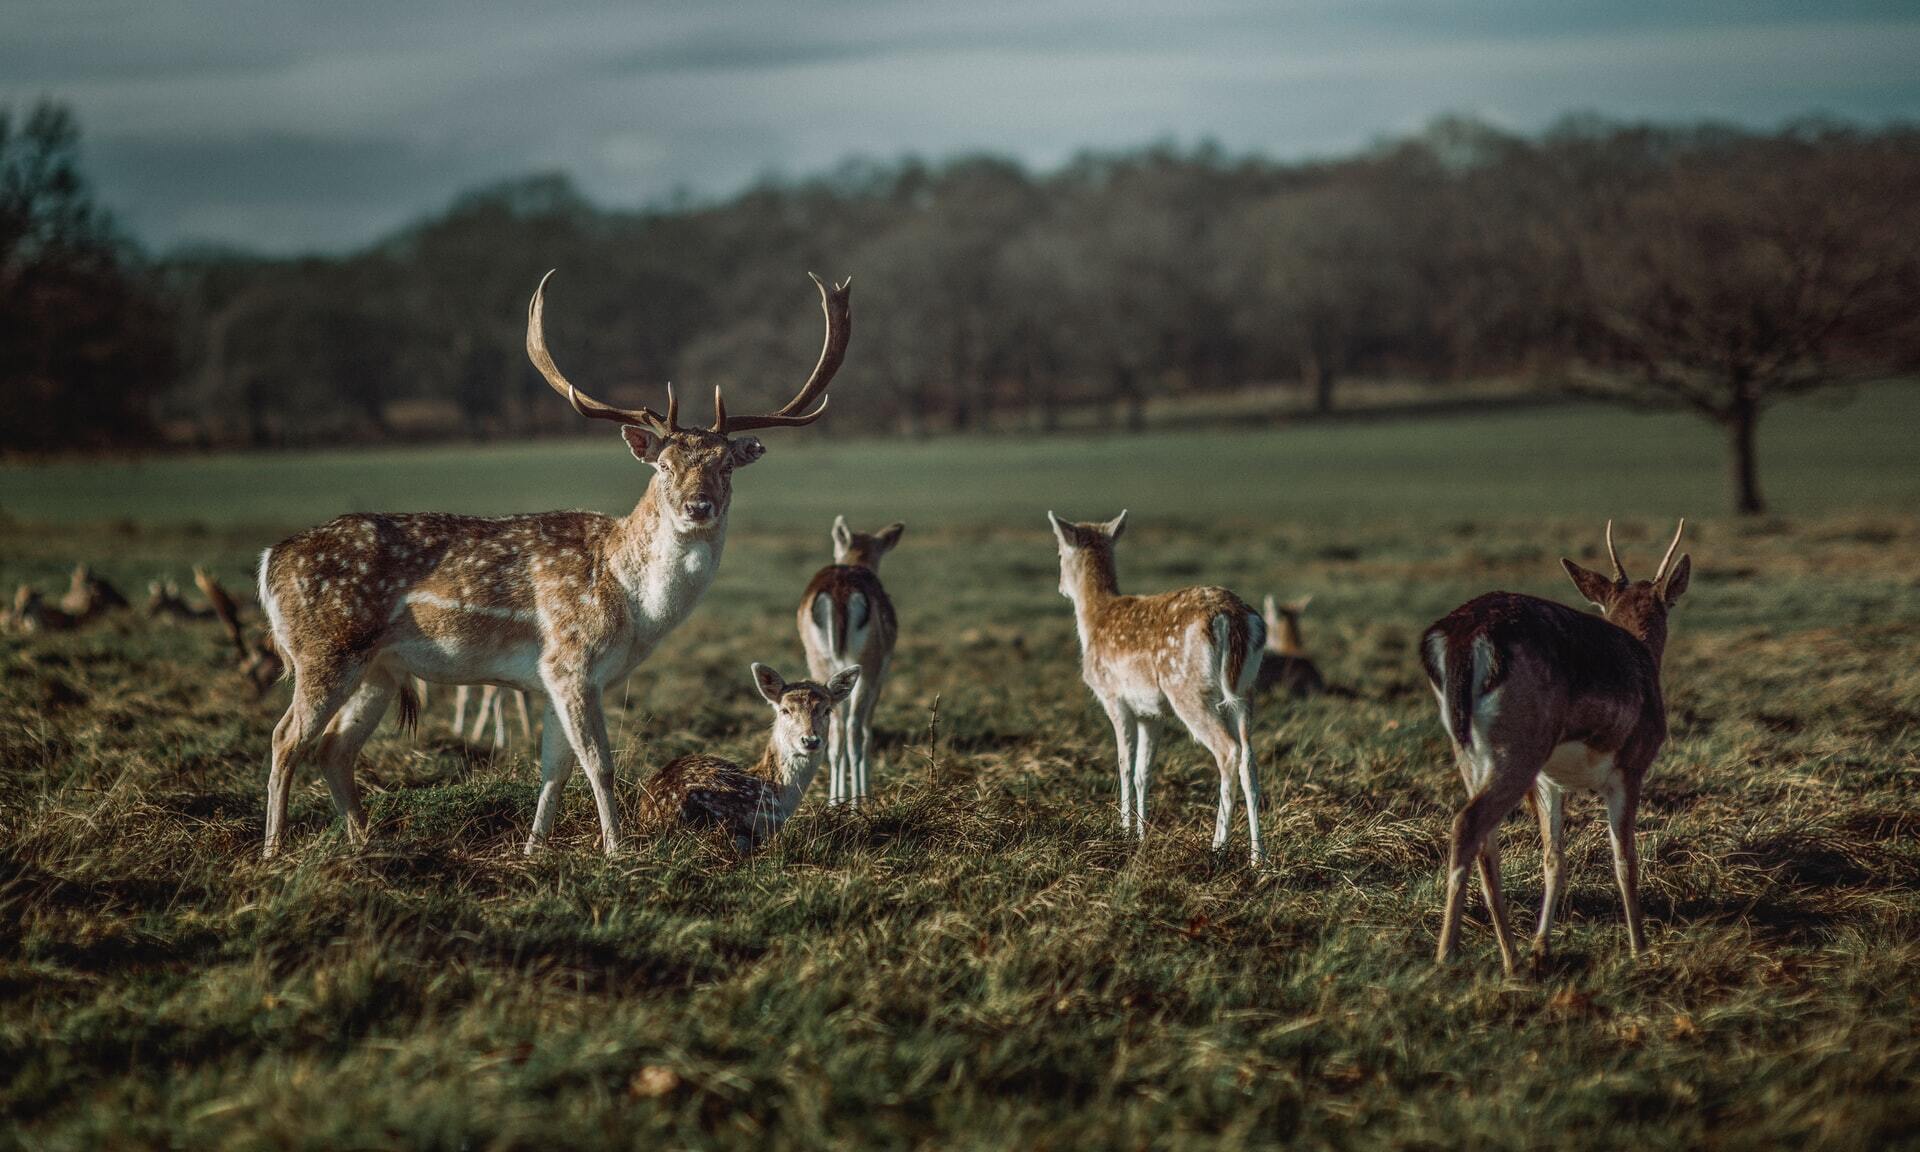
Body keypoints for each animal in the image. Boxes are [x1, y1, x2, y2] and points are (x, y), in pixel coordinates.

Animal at [253, 270, 848, 860]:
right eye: (663, 464)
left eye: (726, 465)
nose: (697, 506)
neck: (632, 602)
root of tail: (269, 561)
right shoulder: (570, 661)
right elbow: (600, 764)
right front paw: (617, 851)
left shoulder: (551, 678)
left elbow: (555, 770)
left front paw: (534, 850)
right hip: (324, 650)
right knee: (285, 738)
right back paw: (273, 850)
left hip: (378, 668)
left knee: (333, 748)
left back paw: (366, 843)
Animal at [802, 518, 906, 806]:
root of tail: (839, 593)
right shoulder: (878, 675)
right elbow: (868, 730)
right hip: (867, 668)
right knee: (854, 729)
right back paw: (858, 800)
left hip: (820, 663)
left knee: (834, 730)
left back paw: (835, 801)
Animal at [1044, 514, 1267, 864]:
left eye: (1058, 553)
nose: (1061, 586)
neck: (1094, 619)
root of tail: (1234, 619)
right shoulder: (1152, 713)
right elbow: (1142, 771)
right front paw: (1141, 834)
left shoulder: (1114, 698)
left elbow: (1123, 764)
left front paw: (1123, 830)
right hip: (1246, 691)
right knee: (1249, 759)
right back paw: (1259, 858)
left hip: (1188, 690)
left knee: (1228, 751)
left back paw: (1217, 847)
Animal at [1420, 518, 1689, 971]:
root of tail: (1459, 638)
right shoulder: (1630, 768)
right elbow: (1624, 859)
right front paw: (1640, 949)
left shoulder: (1550, 783)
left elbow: (1554, 858)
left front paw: (1541, 946)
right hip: (1518, 751)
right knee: (1467, 824)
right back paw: (1445, 956)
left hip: (1470, 754)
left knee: (1486, 843)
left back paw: (1512, 957)